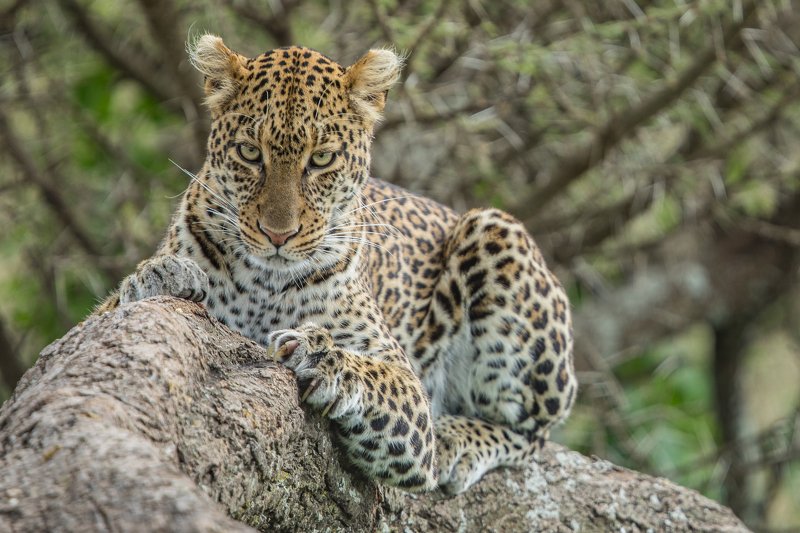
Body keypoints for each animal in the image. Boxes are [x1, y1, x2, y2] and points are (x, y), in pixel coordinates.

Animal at [97, 34, 577, 495]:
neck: (264, 281)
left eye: (322, 159)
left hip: (496, 231)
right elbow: (115, 304)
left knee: (534, 432)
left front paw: (323, 358)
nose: (278, 235)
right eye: (250, 153)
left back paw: (456, 440)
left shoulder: (408, 389)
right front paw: (161, 275)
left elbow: (378, 377)